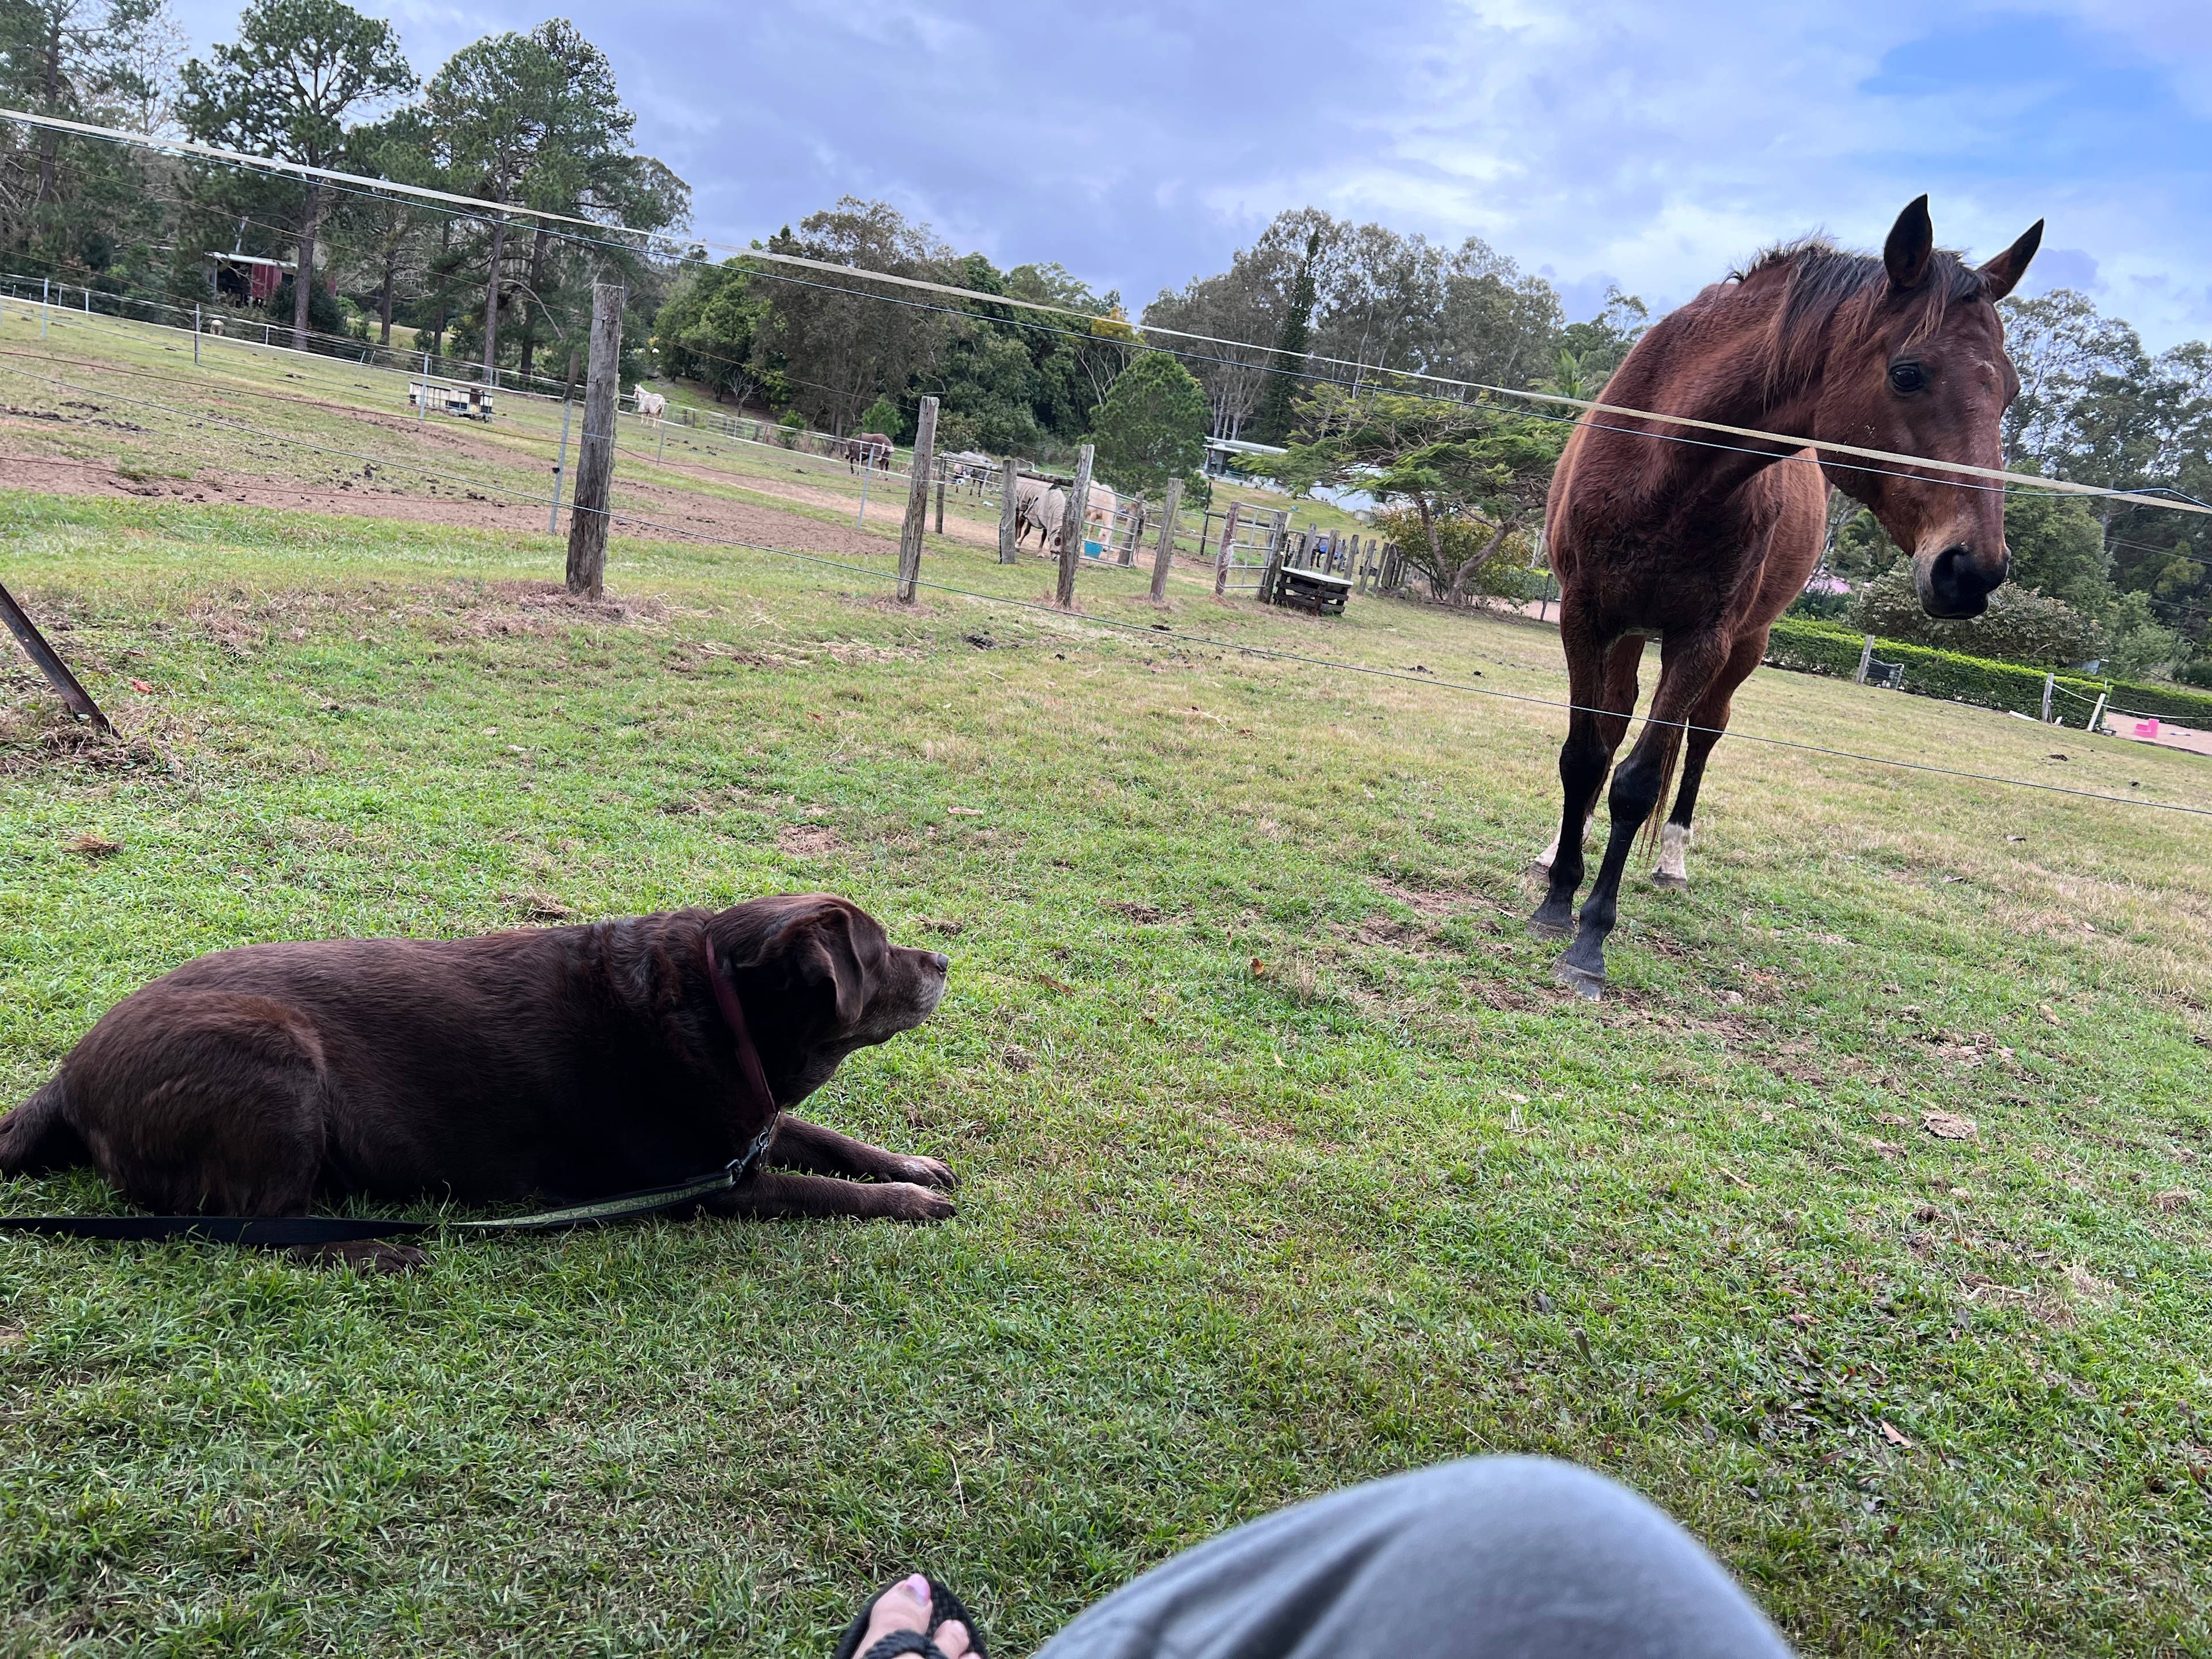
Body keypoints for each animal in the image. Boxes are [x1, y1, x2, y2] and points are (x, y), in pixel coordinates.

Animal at [1531, 196, 2042, 999]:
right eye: (1908, 374)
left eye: (2010, 391)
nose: (1971, 570)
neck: (1664, 466)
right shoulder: (1584, 618)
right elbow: (1586, 756)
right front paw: (1556, 899)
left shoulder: (1704, 640)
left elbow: (1639, 781)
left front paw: (1590, 942)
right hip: (1631, 632)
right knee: (1613, 727)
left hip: (1741, 648)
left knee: (1701, 738)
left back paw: (1672, 859)